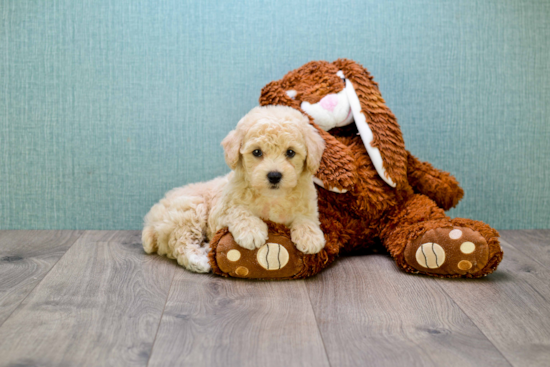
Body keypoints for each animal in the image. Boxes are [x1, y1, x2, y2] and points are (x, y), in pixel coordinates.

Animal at [142, 105, 328, 274]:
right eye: (257, 152)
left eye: (290, 152)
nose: (274, 175)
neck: (272, 196)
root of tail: (151, 222)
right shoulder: (221, 212)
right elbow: (238, 211)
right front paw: (252, 231)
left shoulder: (308, 205)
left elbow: (306, 218)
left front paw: (310, 237)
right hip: (190, 209)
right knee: (181, 242)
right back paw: (200, 260)